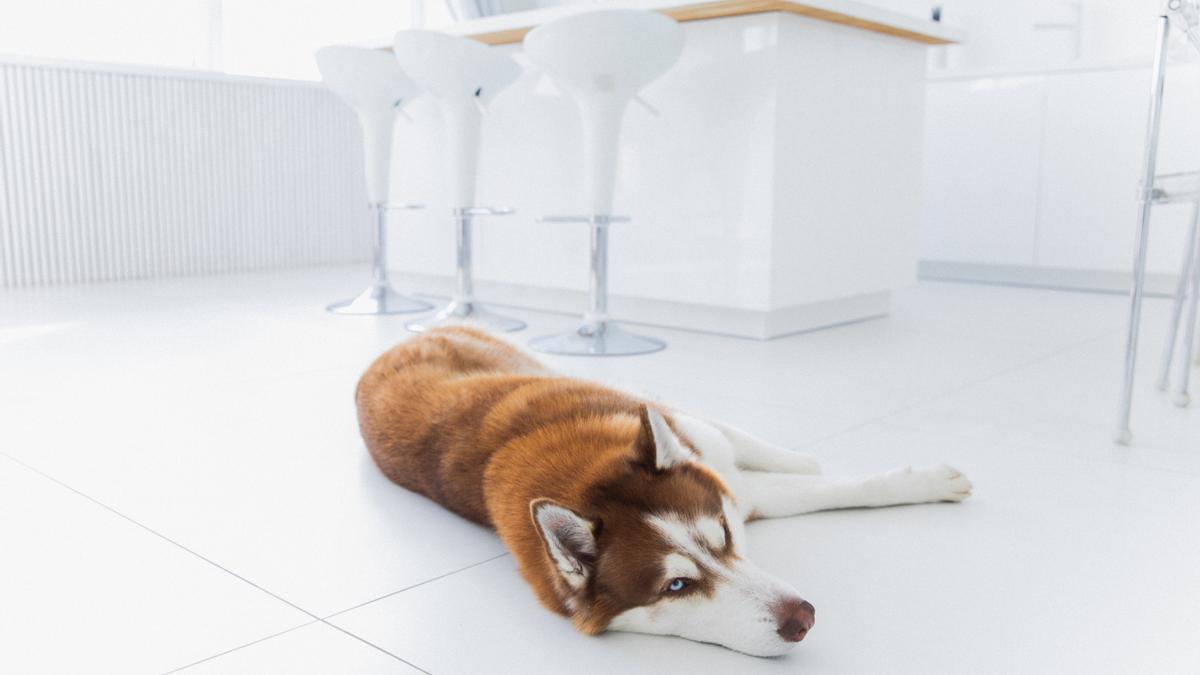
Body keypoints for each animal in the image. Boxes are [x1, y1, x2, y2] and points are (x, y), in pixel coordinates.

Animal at [357, 326, 974, 653]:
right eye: (676, 587)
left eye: (723, 535)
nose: (803, 617)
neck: (588, 471)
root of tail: (391, 347)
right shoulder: (743, 492)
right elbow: (809, 489)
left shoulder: (718, 470)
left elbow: (816, 477)